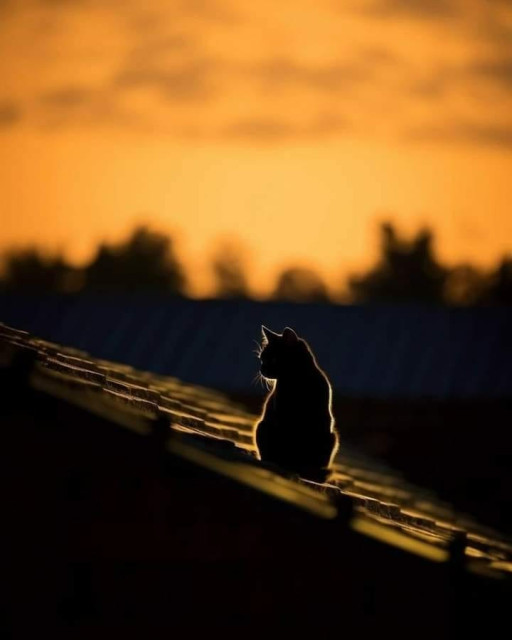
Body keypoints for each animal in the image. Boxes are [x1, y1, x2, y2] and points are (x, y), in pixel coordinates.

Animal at [253, 324, 340, 480]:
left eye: (273, 359)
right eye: (262, 359)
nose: (261, 369)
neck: (298, 379)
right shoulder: (281, 411)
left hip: (332, 437)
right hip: (261, 426)